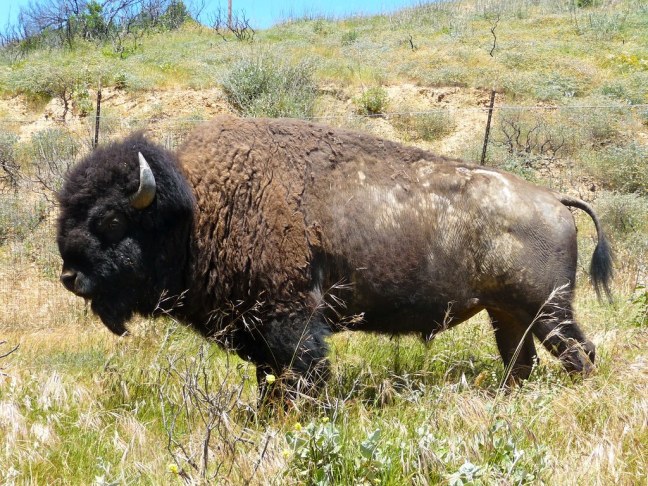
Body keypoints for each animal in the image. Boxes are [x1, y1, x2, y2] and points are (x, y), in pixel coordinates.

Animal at [57, 116, 612, 398]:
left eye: (111, 220)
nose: (70, 276)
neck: (198, 209)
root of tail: (554, 199)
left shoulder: (290, 320)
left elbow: (303, 372)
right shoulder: (257, 329)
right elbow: (269, 377)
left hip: (549, 310)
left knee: (579, 353)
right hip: (508, 314)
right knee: (523, 361)